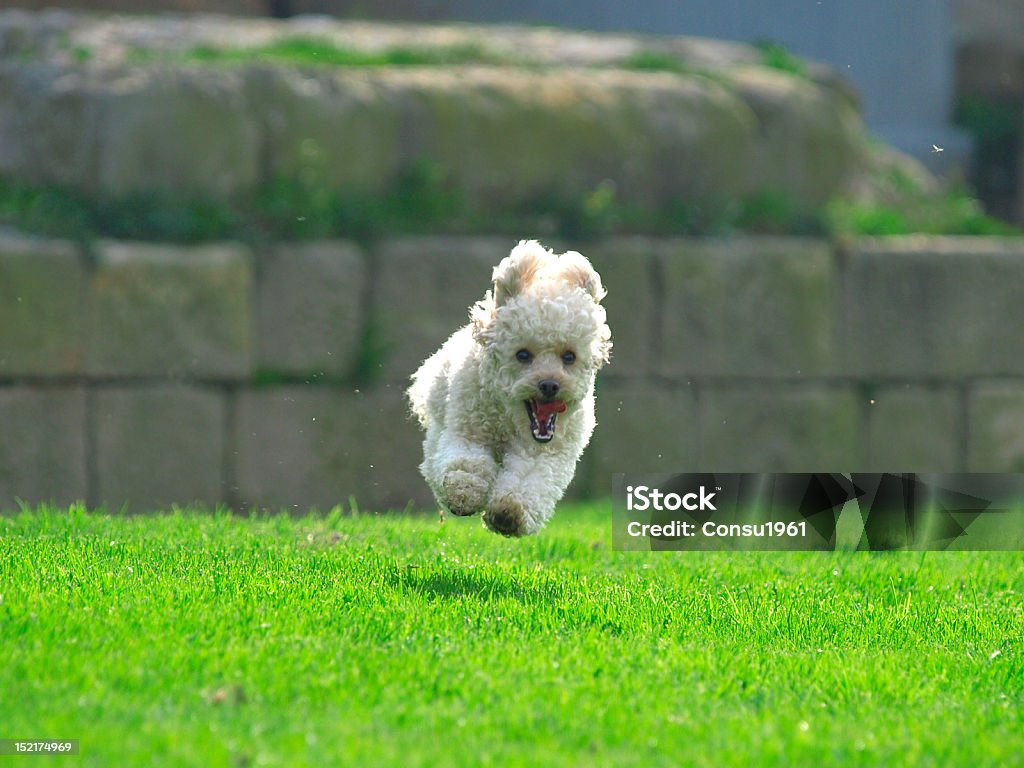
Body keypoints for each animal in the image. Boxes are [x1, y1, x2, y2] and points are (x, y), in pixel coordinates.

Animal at [407, 243, 610, 536]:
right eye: (522, 354)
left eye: (569, 356)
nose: (550, 385)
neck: (509, 421)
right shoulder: (468, 430)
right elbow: (467, 462)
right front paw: (464, 491)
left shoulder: (543, 453)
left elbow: (528, 480)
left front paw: (508, 513)